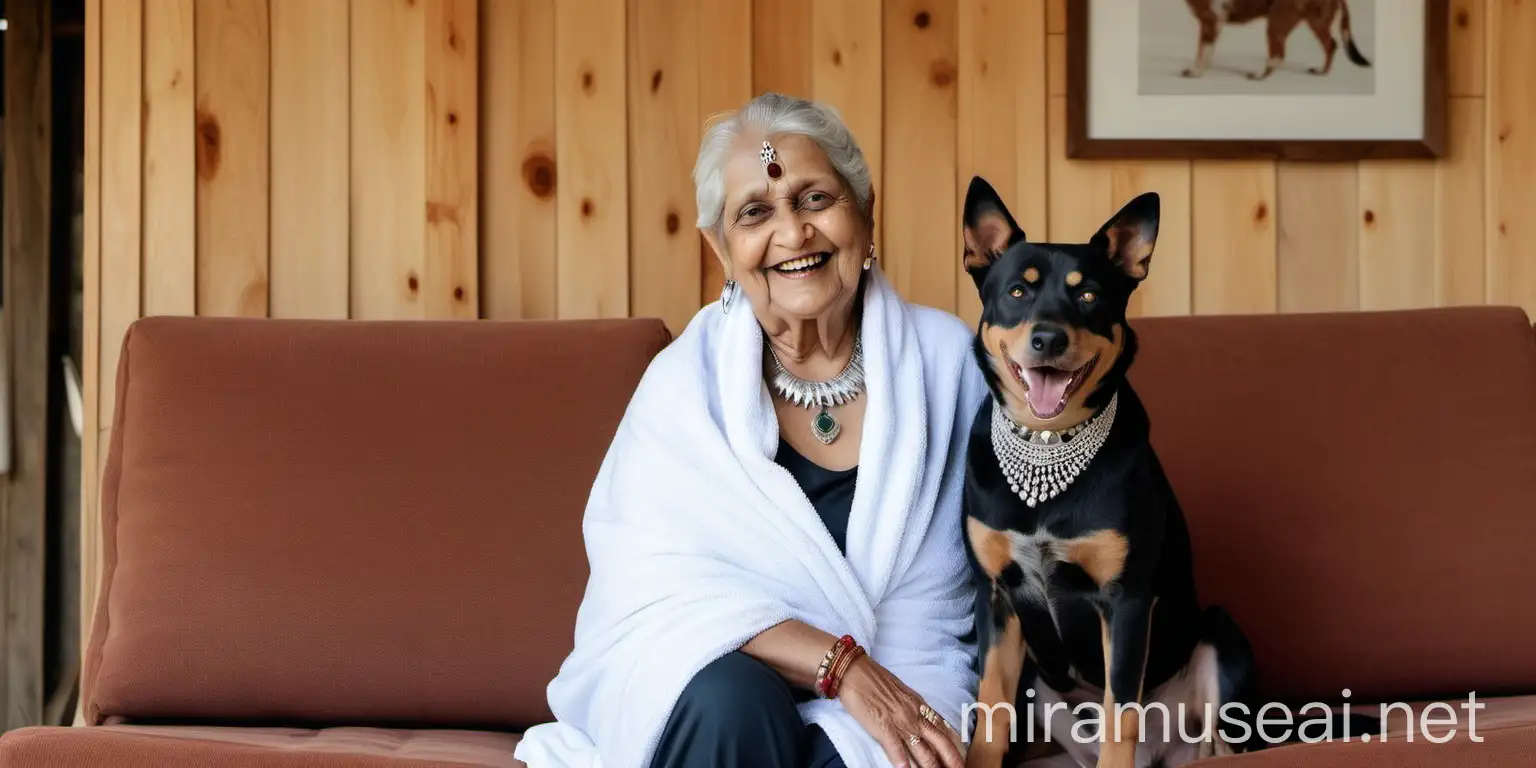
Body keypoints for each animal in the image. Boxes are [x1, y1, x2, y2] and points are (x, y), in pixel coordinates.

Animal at [958, 175, 1259, 768]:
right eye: (1018, 292)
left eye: (1089, 295)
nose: (1048, 339)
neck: (1048, 442)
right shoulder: (995, 597)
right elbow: (991, 707)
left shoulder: (1126, 601)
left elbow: (1122, 709)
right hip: (1043, 687)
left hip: (1219, 630)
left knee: (1221, 736)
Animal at [1179, 0, 1376, 81]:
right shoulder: (1209, 23)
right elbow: (1203, 52)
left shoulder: (1212, 22)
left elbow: (1203, 53)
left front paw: (1196, 73)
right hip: (1314, 22)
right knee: (1331, 45)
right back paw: (1322, 72)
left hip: (1277, 21)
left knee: (1277, 55)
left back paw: (1259, 75)